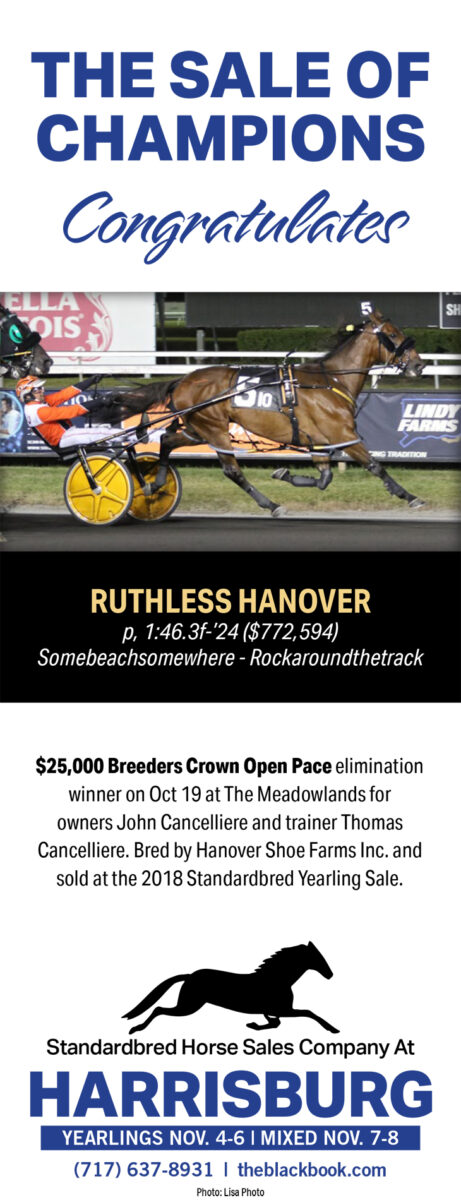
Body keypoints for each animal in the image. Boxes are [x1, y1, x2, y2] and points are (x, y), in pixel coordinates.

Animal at [107, 309, 425, 514]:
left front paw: (283, 472)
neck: (331, 380)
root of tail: (183, 380)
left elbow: (324, 479)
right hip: (214, 429)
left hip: (198, 428)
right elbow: (375, 466)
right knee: (232, 471)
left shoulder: (321, 442)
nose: (419, 365)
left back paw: (156, 483)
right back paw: (271, 505)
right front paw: (410, 496)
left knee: (166, 440)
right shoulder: (343, 434)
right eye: (393, 334)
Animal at [123, 941, 339, 1034]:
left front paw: (254, 1025)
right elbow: (309, 1012)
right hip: (189, 1006)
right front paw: (333, 1029)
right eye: (317, 957)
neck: (277, 980)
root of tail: (190, 975)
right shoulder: (283, 1010)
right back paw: (136, 1029)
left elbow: (275, 1023)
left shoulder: (275, 1011)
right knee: (159, 1009)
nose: (330, 974)